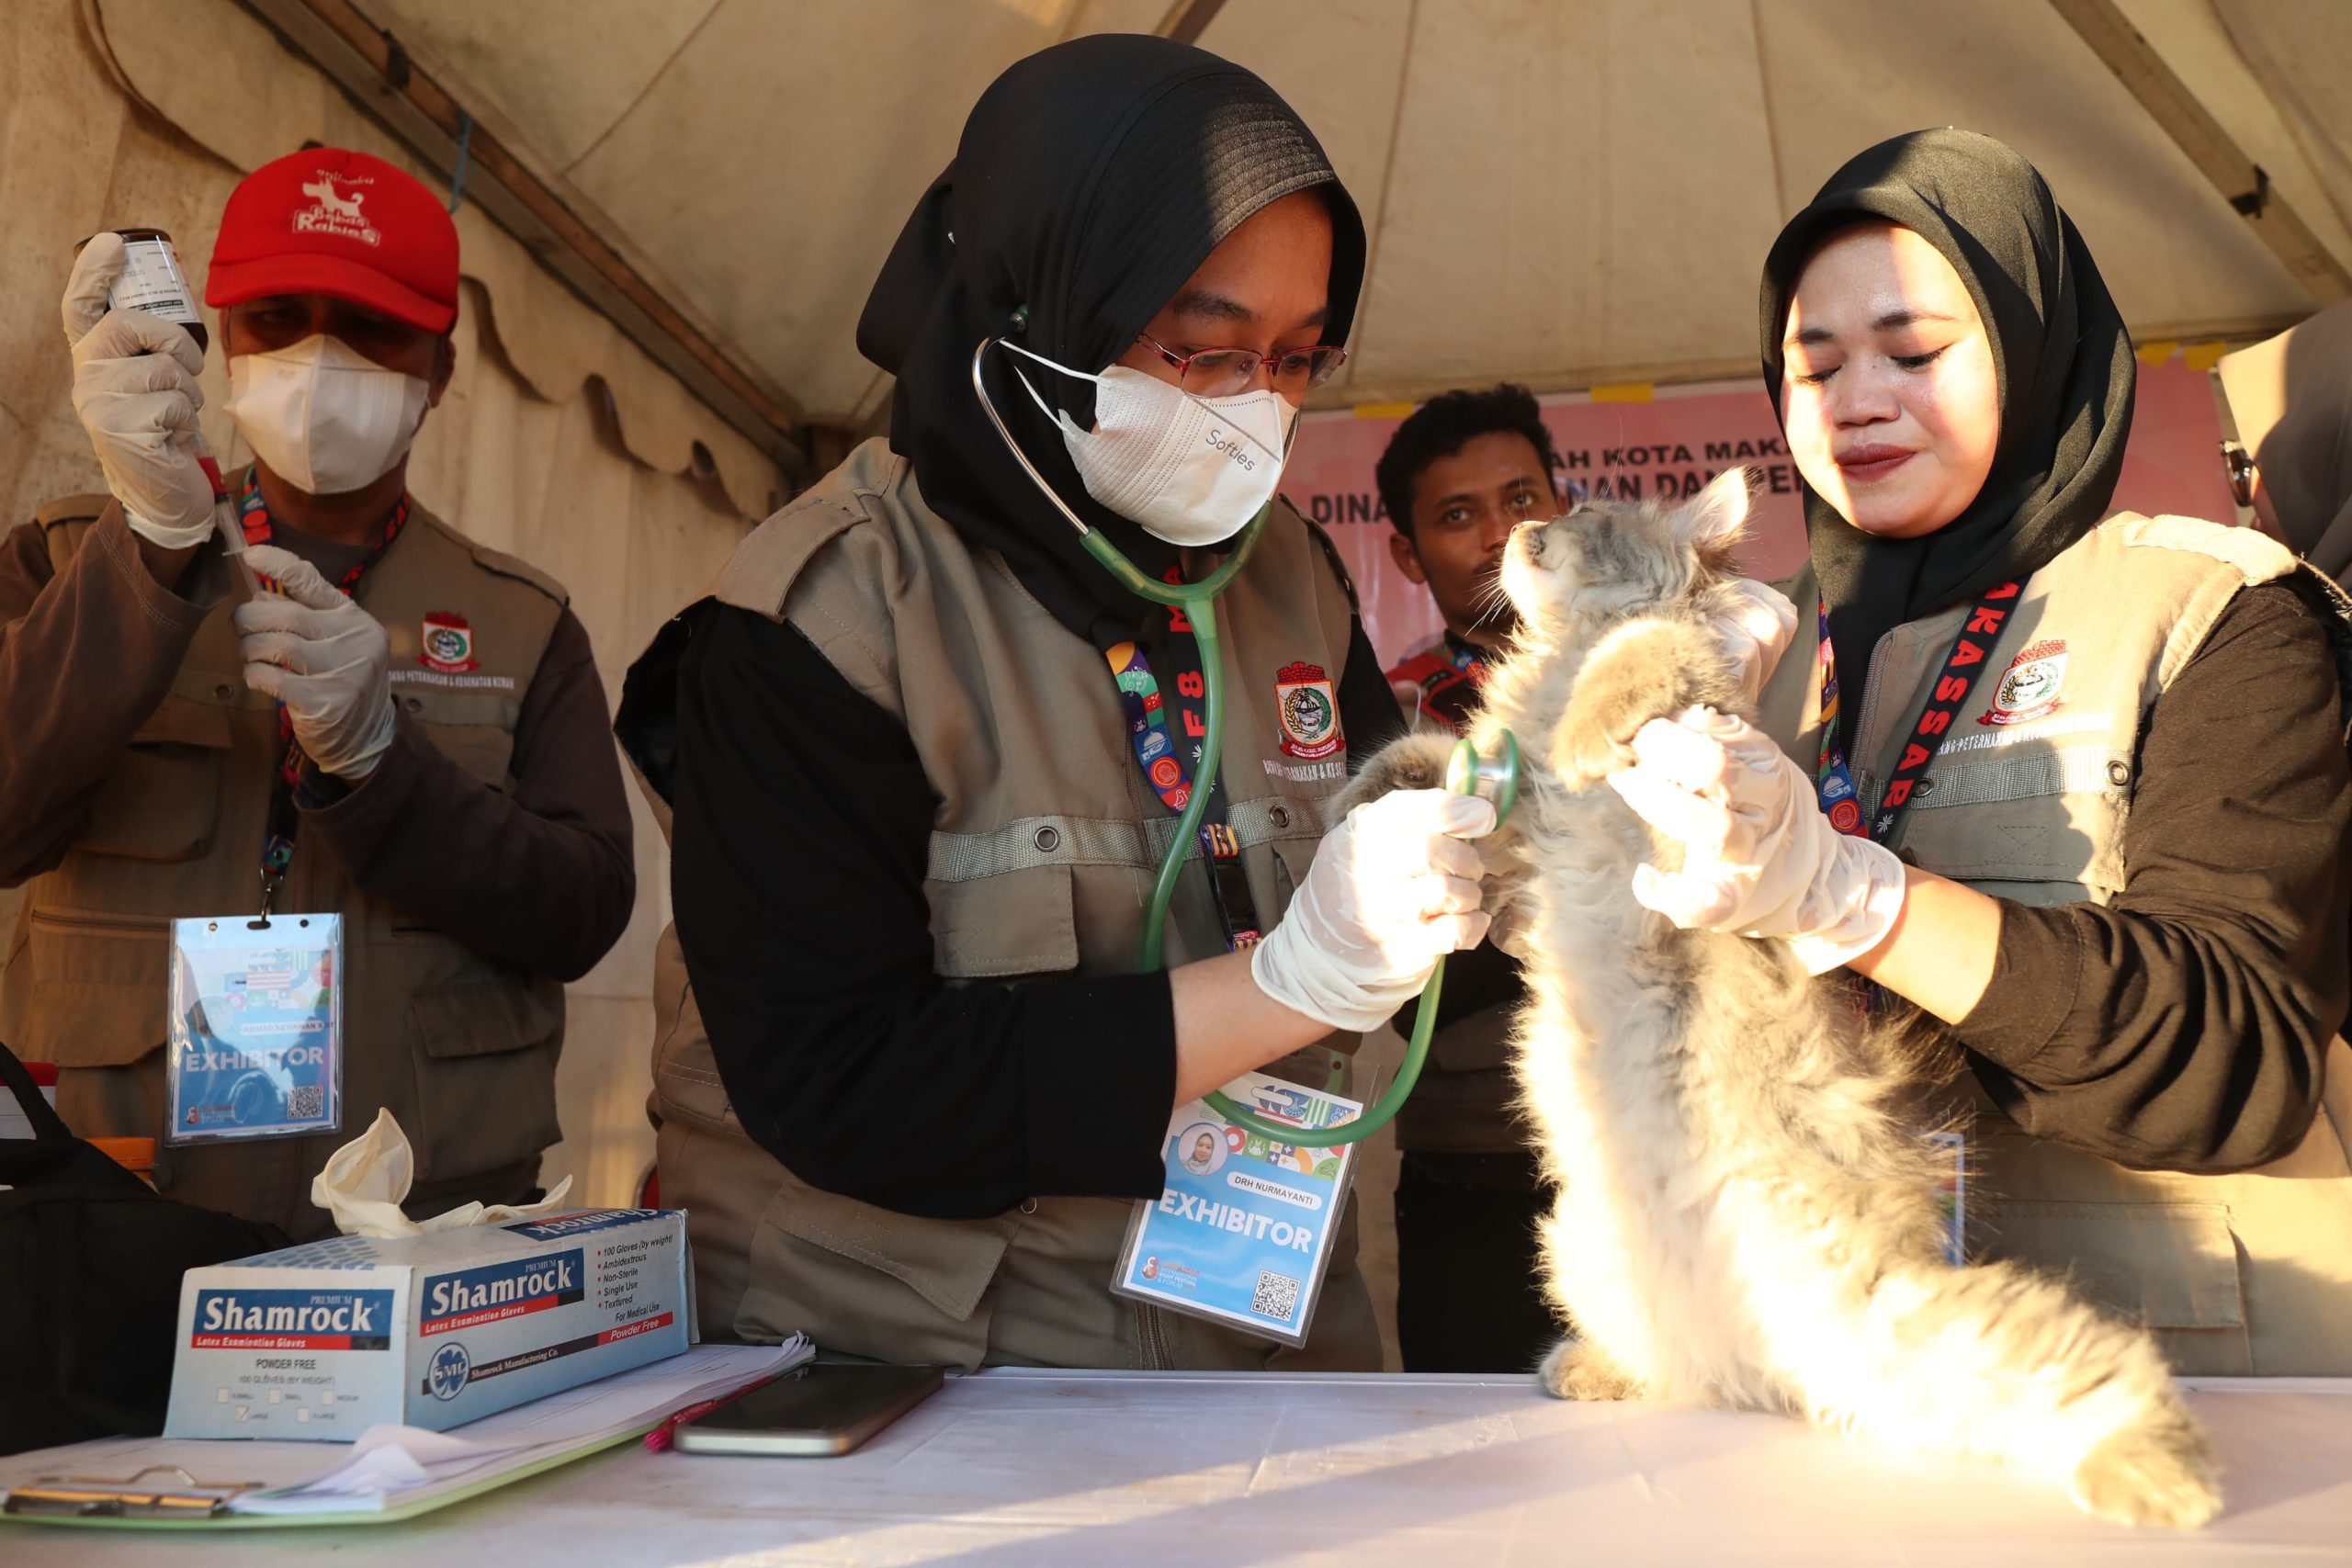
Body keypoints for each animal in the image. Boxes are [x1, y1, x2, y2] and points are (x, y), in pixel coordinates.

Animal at [1345, 472, 2220, 1523]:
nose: (1520, 529)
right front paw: (1365, 812)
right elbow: (1431, 753)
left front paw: (1588, 727)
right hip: (1587, 1253)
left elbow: (1647, 650)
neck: (1558, 651)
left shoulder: (1695, 718)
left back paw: (2162, 1474)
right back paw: (1596, 1368)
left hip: (1907, 1309)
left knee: (2083, 1362)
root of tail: (1773, 1358)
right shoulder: (1507, 845)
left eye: (1582, 515)